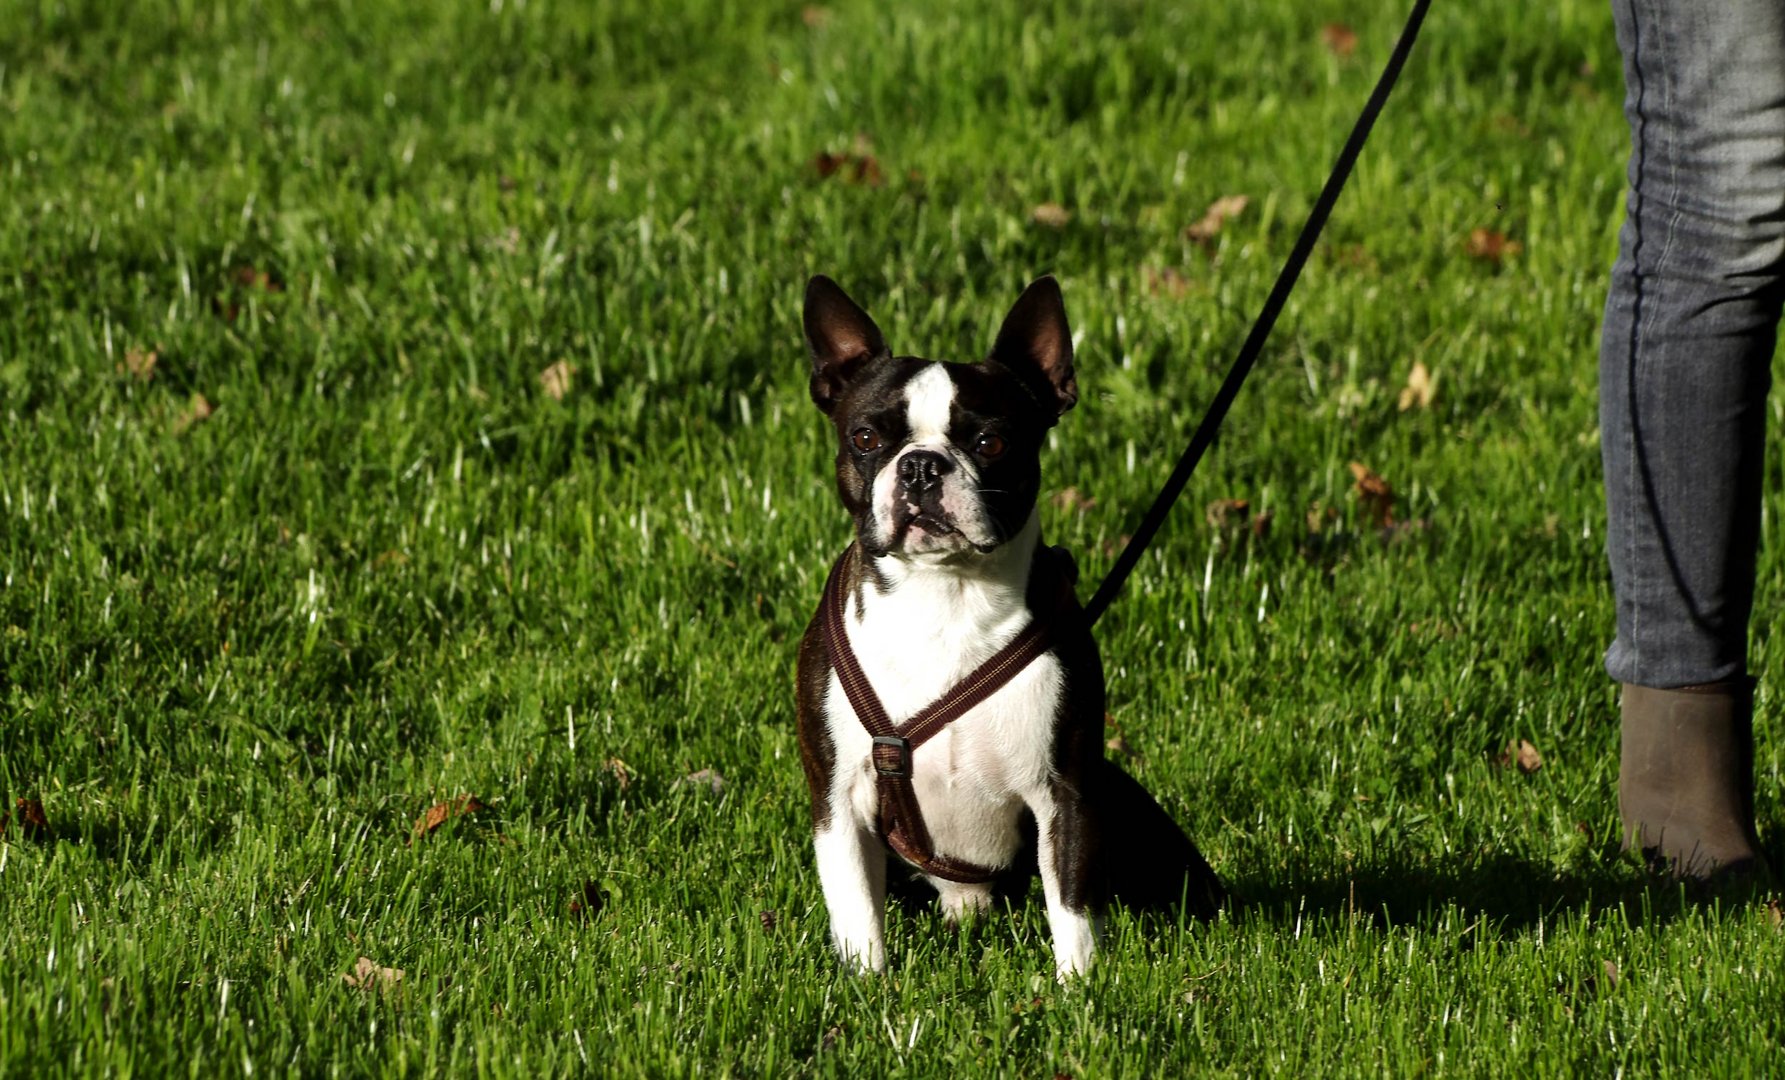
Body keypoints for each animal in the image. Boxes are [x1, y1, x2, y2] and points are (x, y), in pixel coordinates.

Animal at [799, 276, 1228, 978]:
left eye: (990, 444)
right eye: (864, 439)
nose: (921, 466)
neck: (944, 595)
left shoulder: (1067, 793)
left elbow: (1073, 910)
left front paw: (1079, 990)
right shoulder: (837, 798)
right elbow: (857, 907)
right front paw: (867, 984)